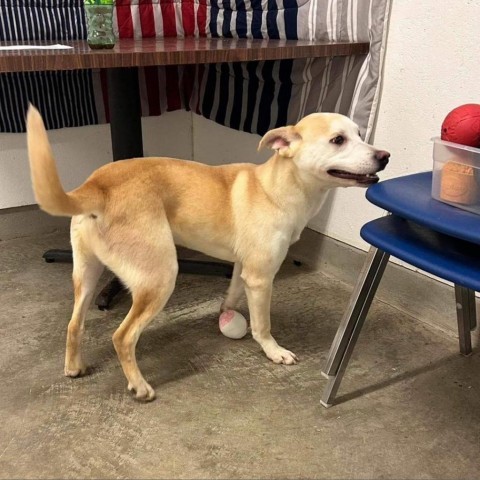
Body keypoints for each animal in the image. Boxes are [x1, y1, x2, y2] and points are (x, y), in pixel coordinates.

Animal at [26, 106, 388, 402]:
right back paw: (139, 386)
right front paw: (273, 351)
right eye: (338, 140)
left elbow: (232, 294)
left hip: (87, 275)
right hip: (160, 278)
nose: (384, 155)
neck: (277, 186)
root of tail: (97, 186)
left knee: (74, 324)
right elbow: (262, 325)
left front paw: (227, 315)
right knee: (122, 337)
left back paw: (74, 367)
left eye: (359, 134)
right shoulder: (261, 278)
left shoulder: (244, 269)